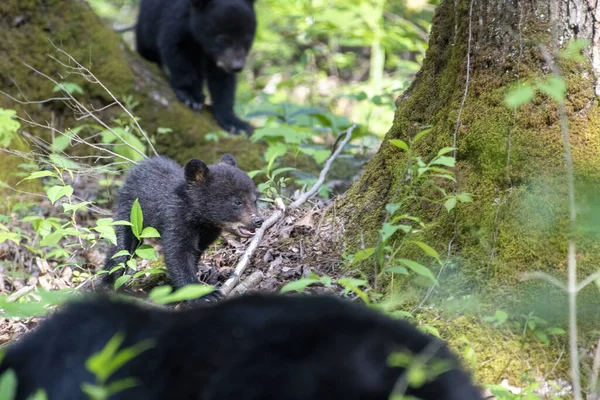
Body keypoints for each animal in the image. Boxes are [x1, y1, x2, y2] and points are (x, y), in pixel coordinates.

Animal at [103, 155, 262, 302]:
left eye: (255, 200)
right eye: (237, 202)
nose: (258, 220)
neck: (200, 220)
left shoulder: (207, 233)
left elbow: (195, 252)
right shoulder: (176, 220)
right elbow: (178, 254)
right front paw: (204, 295)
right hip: (129, 213)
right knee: (121, 248)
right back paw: (107, 283)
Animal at [135, 0, 256, 135]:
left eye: (247, 39)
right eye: (223, 40)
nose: (237, 66)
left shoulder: (222, 61)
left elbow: (222, 81)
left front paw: (235, 123)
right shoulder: (176, 20)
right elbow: (176, 50)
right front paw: (191, 97)